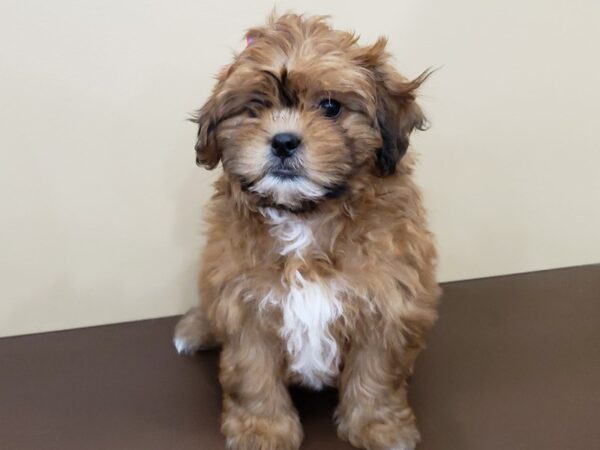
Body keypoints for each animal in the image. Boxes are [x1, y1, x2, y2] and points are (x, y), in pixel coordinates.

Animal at [173, 13, 440, 450]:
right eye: (255, 107)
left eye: (330, 106)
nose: (283, 142)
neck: (306, 215)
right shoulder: (243, 303)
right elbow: (252, 373)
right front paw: (262, 428)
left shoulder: (388, 301)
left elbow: (376, 373)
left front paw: (379, 426)